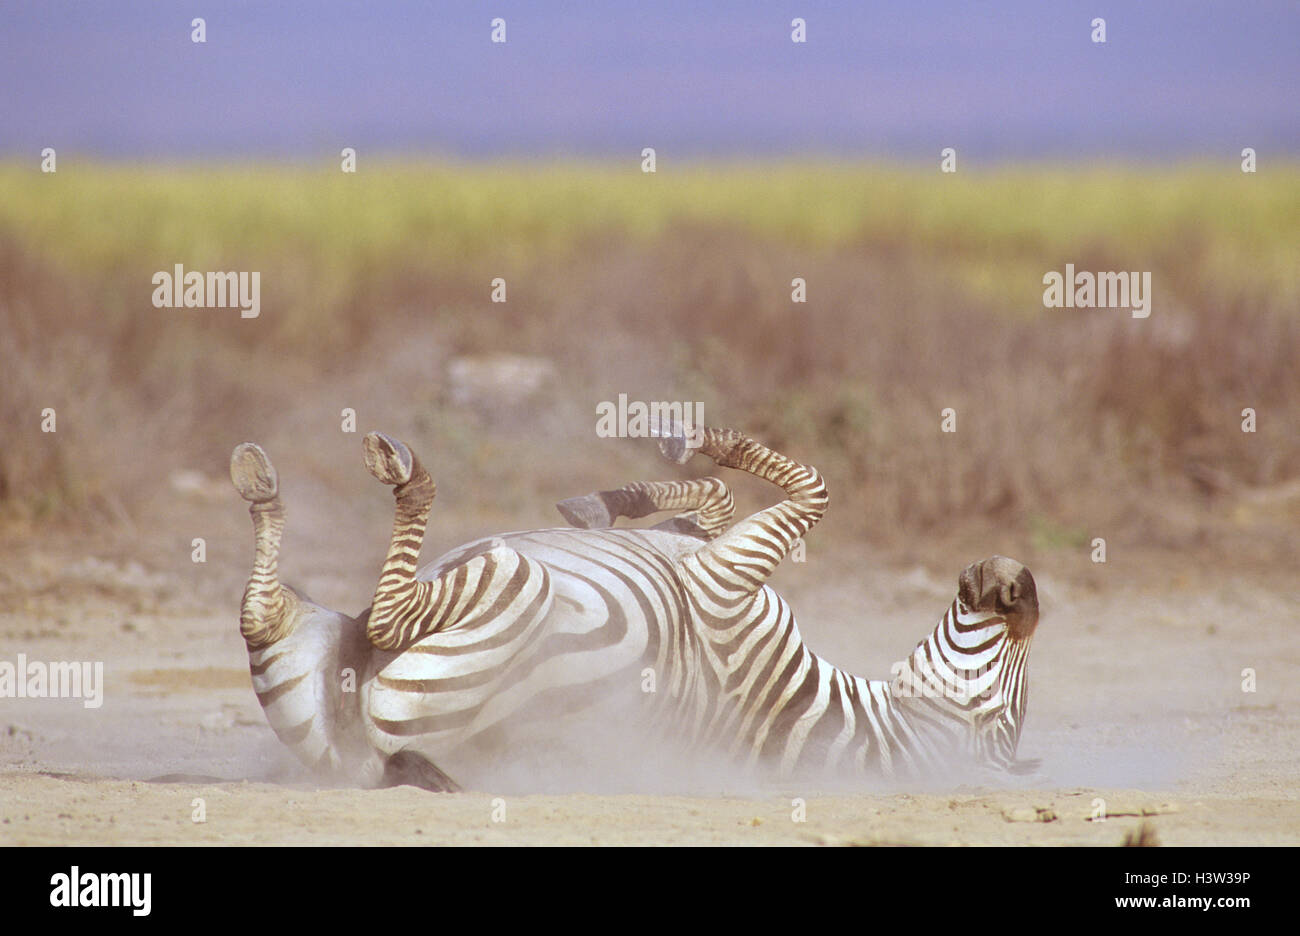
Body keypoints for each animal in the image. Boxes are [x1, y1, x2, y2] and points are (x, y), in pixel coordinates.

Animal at [228, 423, 1040, 790]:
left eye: (1002, 718)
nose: (1022, 585)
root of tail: (376, 761)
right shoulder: (711, 552)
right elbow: (716, 498)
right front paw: (613, 500)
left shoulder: (726, 580)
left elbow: (812, 487)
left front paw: (692, 442)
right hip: (312, 669)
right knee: (265, 615)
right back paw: (262, 486)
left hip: (512, 588)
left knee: (381, 612)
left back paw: (388, 473)